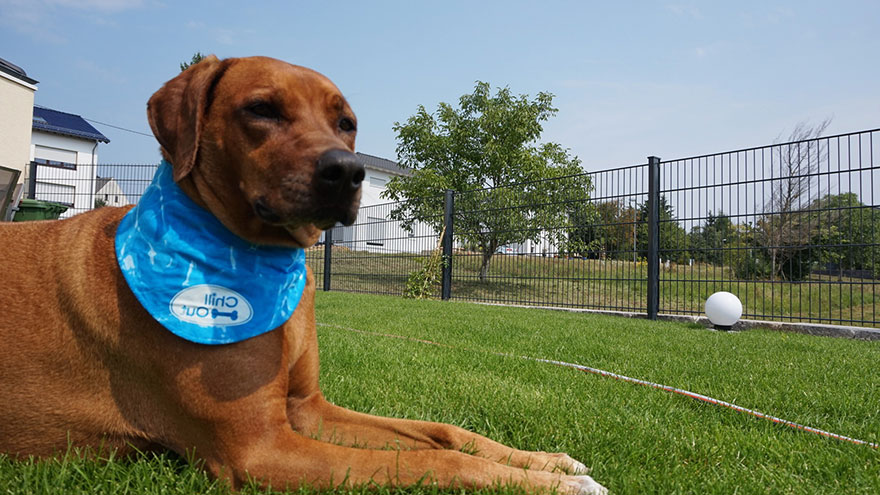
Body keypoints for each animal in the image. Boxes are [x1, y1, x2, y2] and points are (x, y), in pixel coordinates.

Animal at [0, 56, 604, 494]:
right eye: (261, 108)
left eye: (346, 122)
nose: (349, 170)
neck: (258, 260)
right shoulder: (261, 449)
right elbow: (434, 463)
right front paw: (550, 485)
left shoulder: (308, 412)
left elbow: (443, 434)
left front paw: (548, 462)